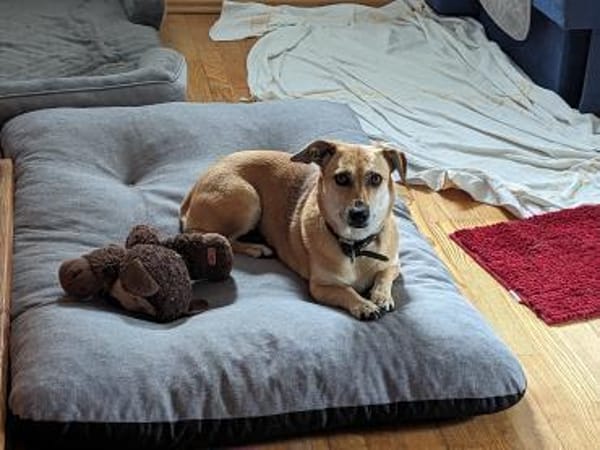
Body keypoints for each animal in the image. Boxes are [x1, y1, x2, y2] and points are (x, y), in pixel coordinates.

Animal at [180, 140, 406, 320]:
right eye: (341, 178)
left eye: (376, 178)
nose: (359, 213)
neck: (356, 247)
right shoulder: (322, 287)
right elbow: (347, 292)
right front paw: (364, 305)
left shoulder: (394, 264)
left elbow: (383, 275)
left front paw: (381, 296)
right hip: (247, 199)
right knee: (218, 237)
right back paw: (257, 248)